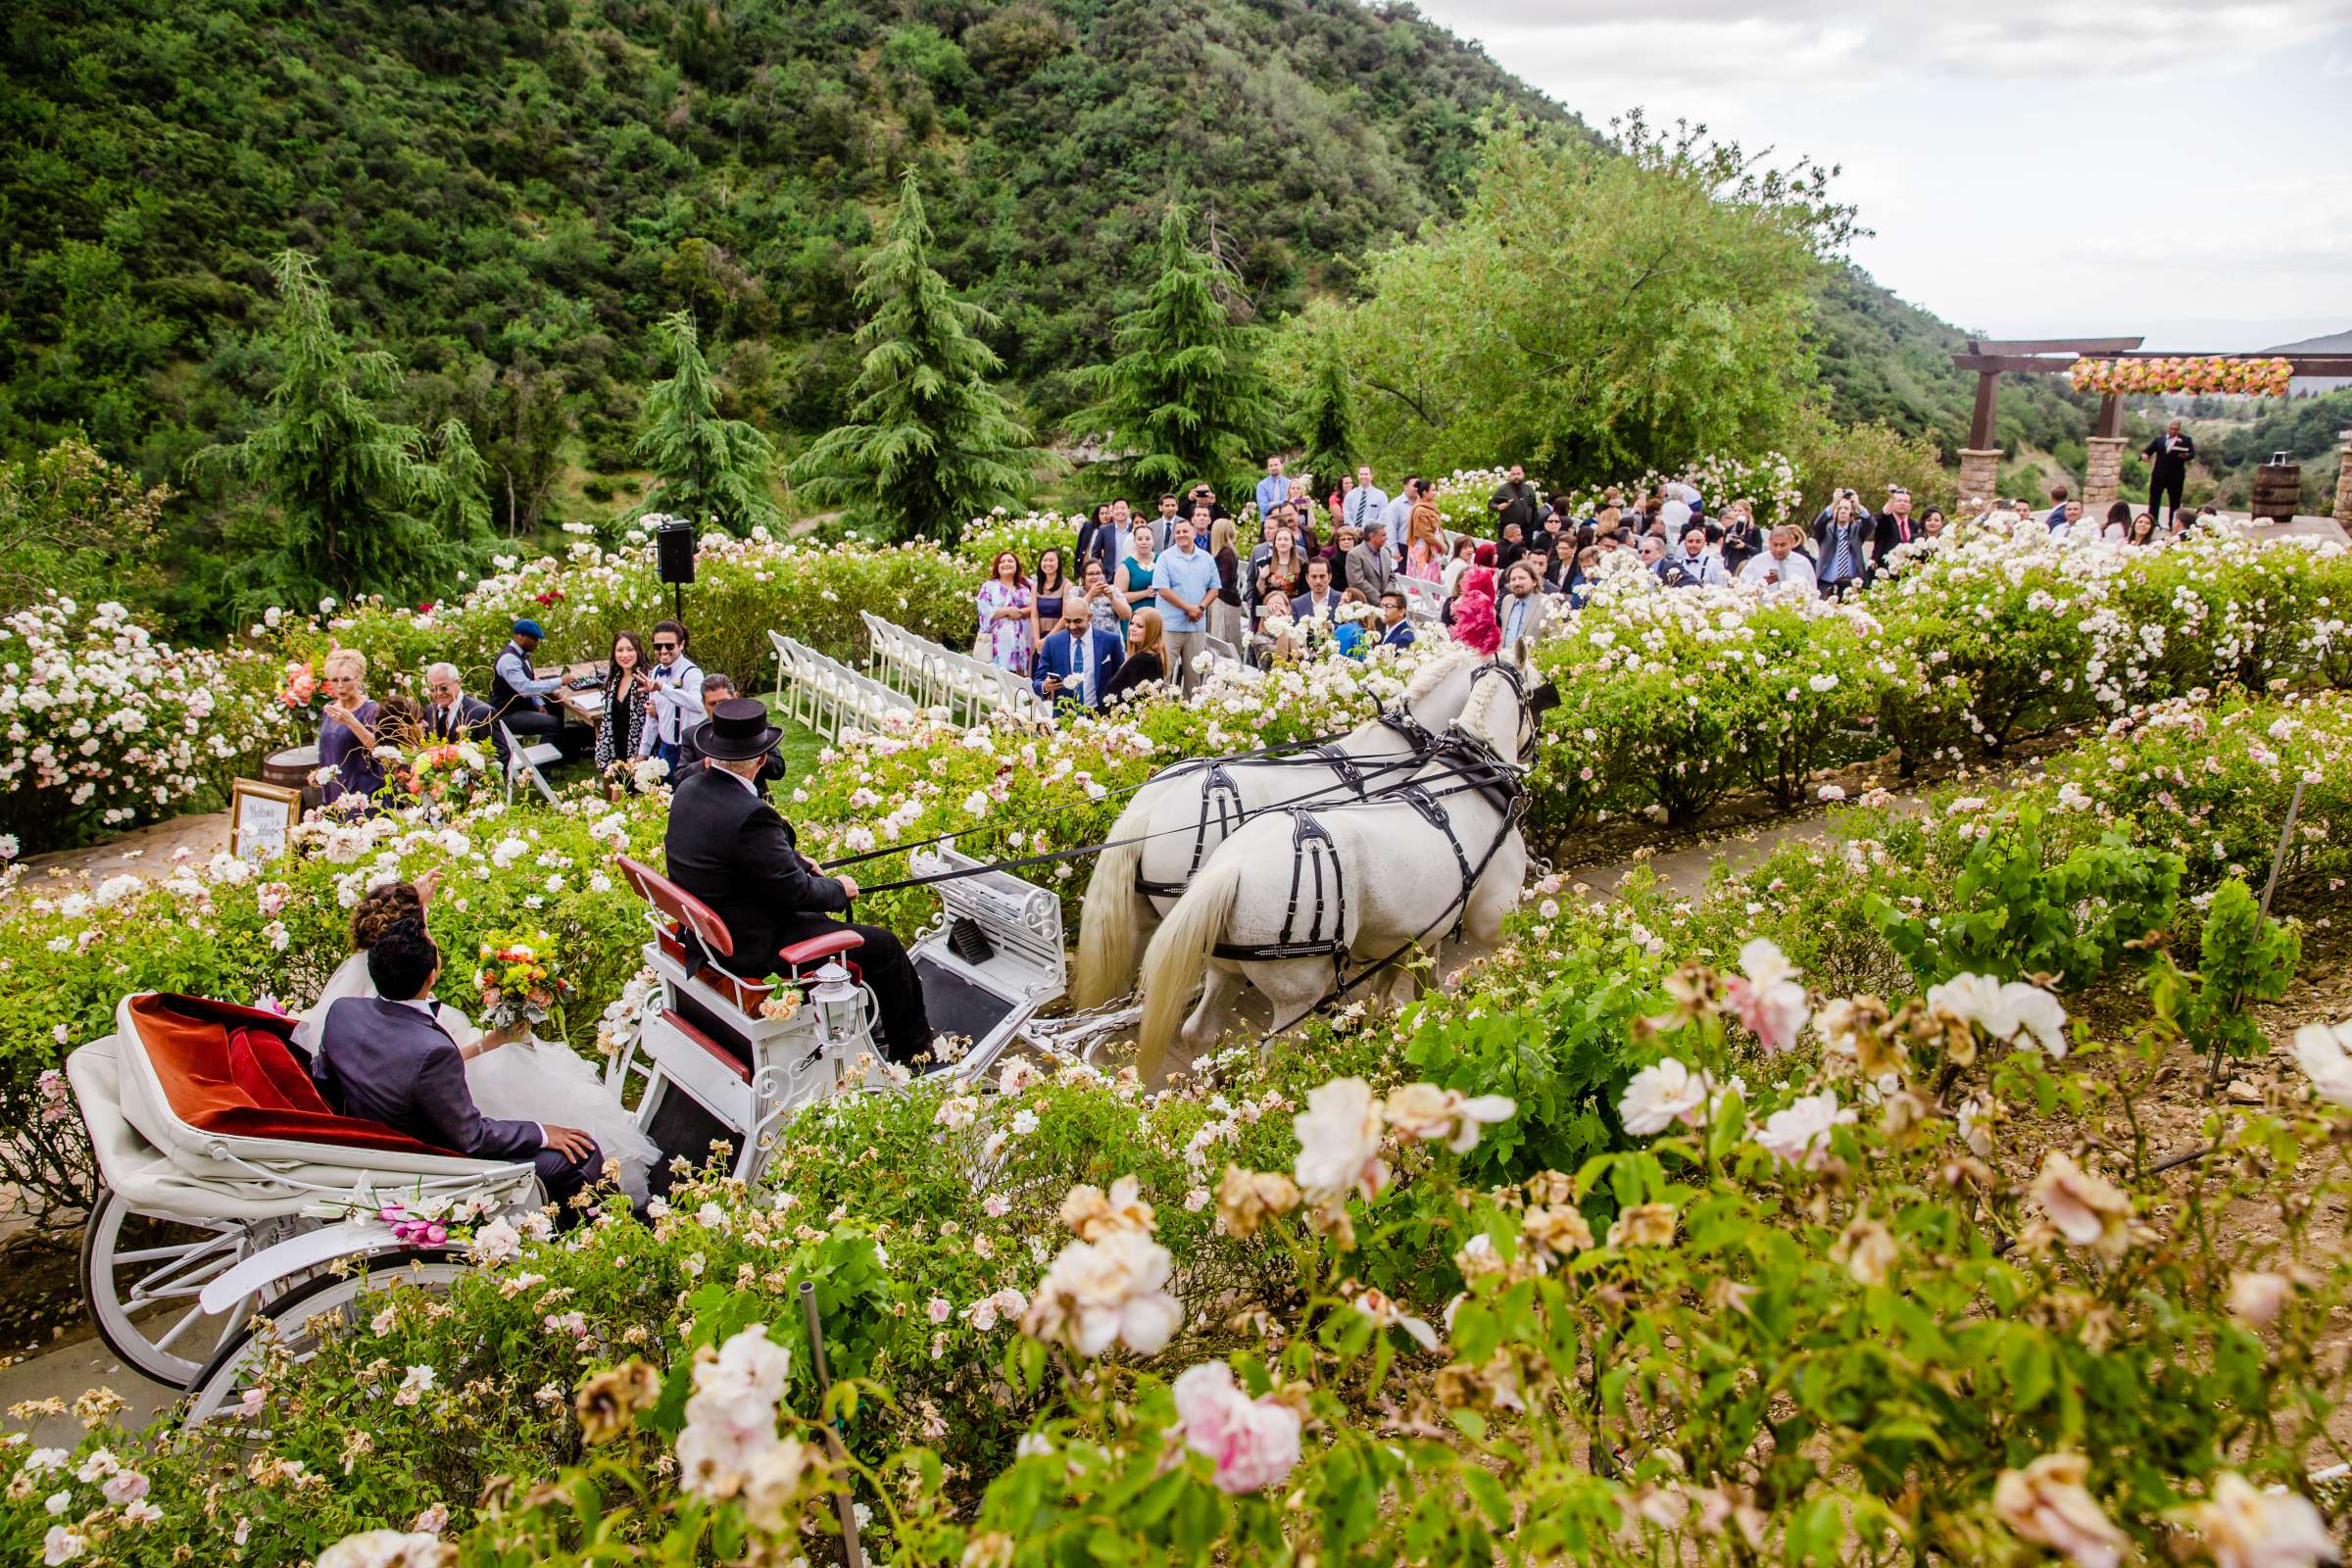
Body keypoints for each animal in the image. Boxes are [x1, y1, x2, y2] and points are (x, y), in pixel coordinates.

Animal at [1138, 649, 1543, 1081]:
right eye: (1537, 692)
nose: (1532, 755)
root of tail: (1232, 867)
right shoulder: (1488, 918)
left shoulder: (1413, 927)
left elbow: (1409, 976)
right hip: (1294, 993)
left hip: (1218, 959)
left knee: (1199, 1030)